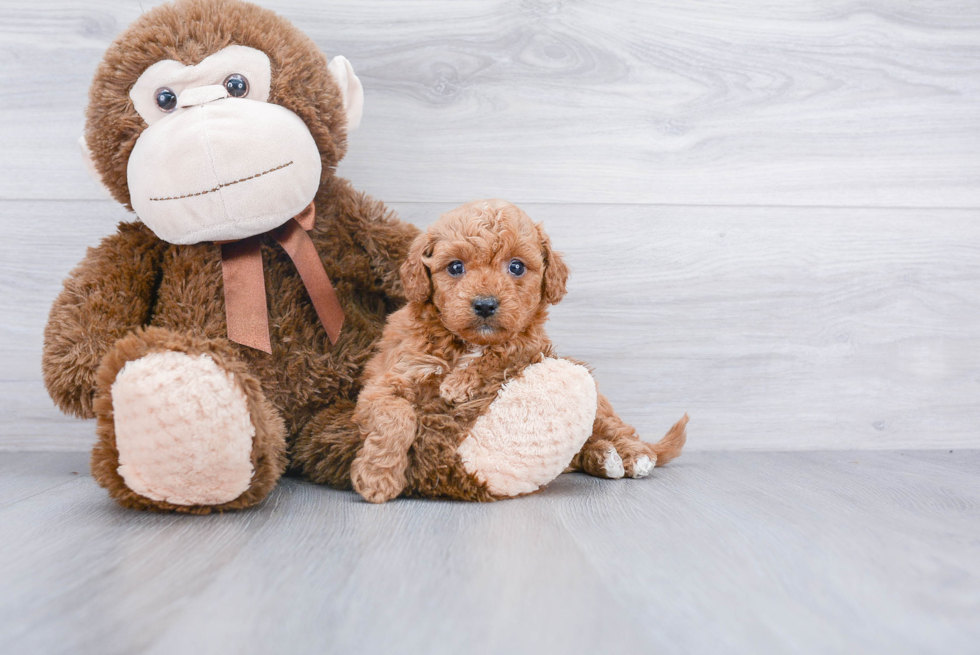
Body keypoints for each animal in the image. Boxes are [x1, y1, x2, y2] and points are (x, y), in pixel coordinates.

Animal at [348, 199, 684, 502]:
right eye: (455, 267)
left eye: (516, 266)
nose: (485, 304)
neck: (469, 344)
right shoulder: (390, 380)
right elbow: (396, 417)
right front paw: (378, 477)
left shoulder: (533, 347)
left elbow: (507, 350)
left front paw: (460, 382)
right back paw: (603, 457)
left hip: (600, 407)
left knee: (614, 427)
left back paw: (631, 456)